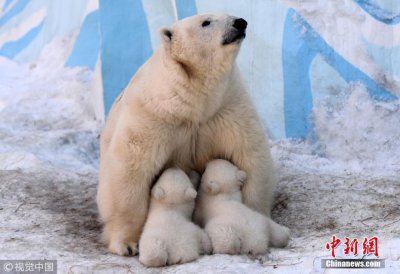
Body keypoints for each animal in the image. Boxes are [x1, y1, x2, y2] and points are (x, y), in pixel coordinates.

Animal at [98, 12, 276, 256]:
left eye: (228, 14)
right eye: (206, 22)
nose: (240, 22)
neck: (192, 103)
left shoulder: (226, 109)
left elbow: (250, 155)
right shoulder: (155, 114)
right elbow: (130, 168)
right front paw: (127, 244)